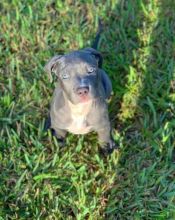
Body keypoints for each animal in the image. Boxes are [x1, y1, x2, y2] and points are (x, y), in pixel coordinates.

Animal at [44, 25, 117, 154]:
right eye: (65, 76)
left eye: (91, 70)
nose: (82, 91)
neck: (79, 109)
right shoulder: (60, 128)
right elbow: (60, 137)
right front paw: (59, 148)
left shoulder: (103, 126)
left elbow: (104, 137)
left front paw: (107, 148)